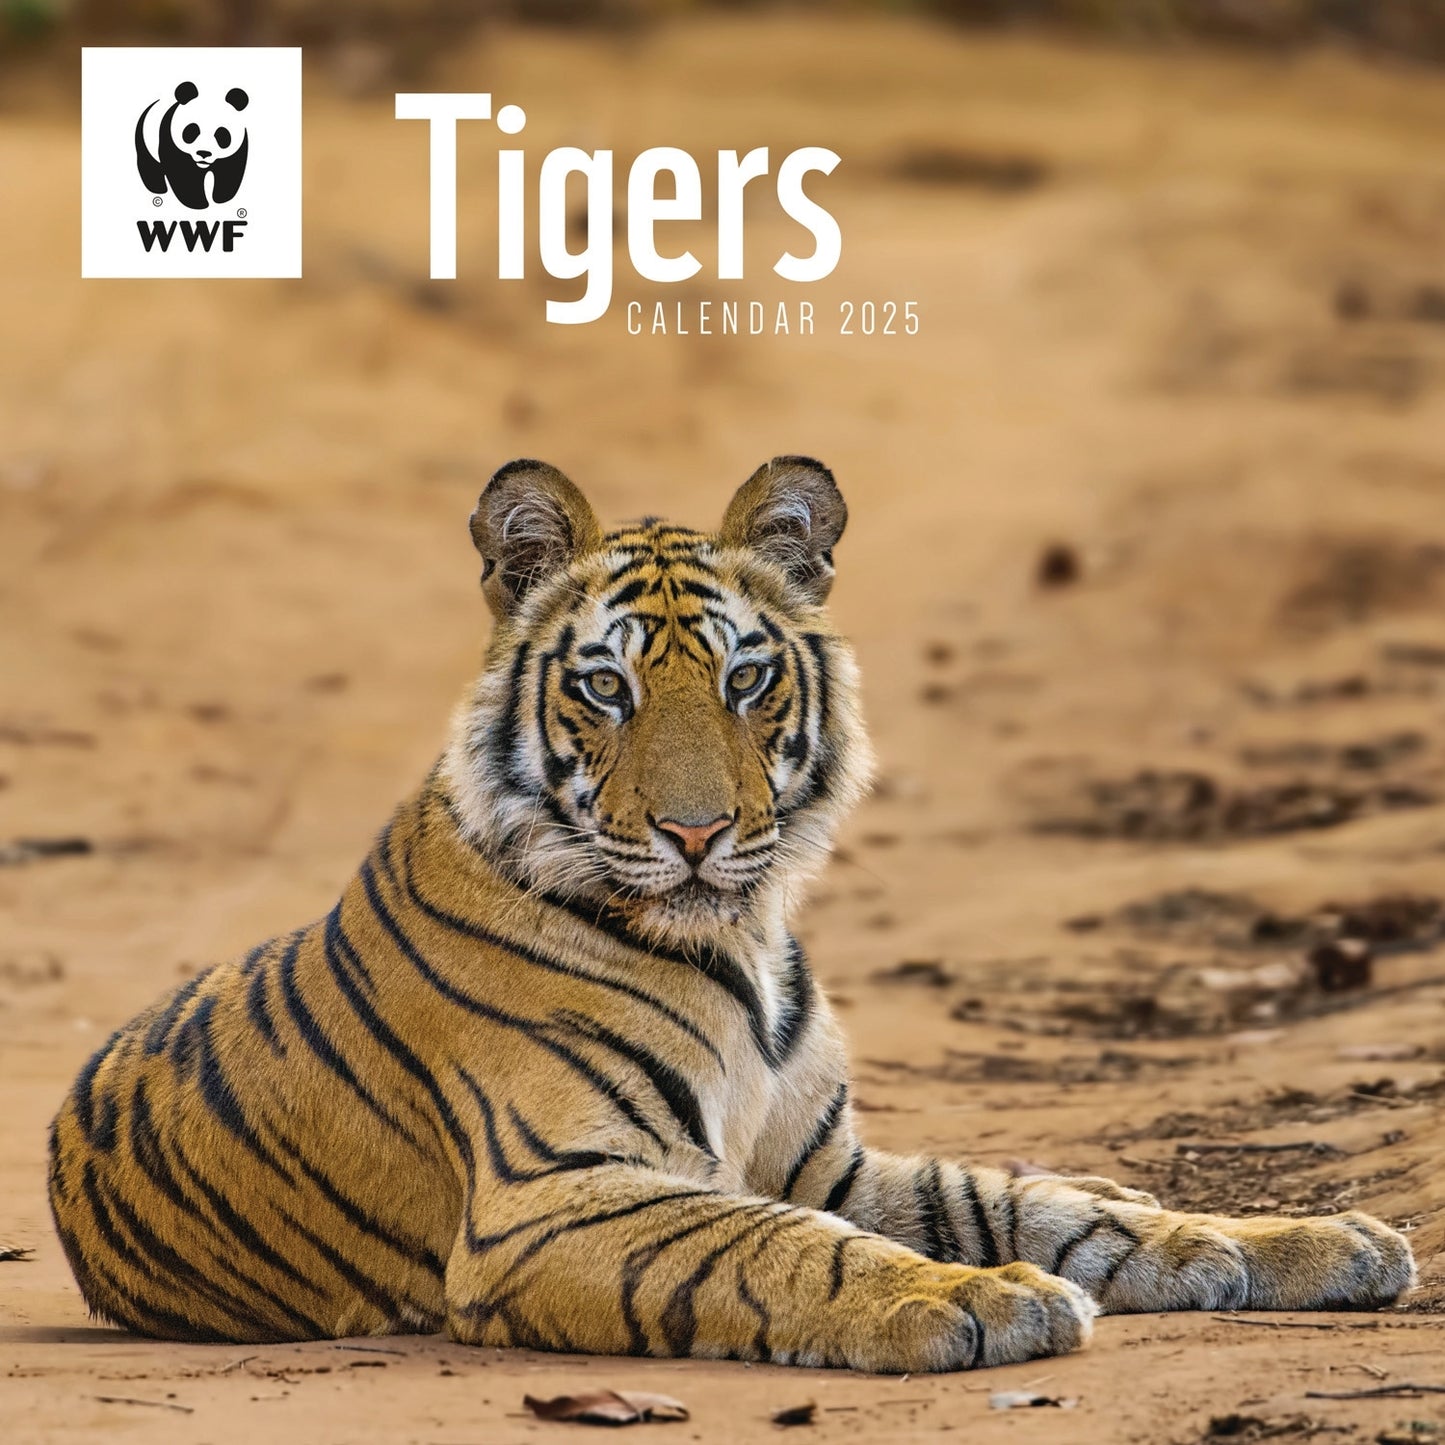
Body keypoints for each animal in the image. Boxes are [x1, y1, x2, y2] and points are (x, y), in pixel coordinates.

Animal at [48, 456, 1416, 1371]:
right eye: (604, 687)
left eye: (745, 678)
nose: (697, 834)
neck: (737, 942)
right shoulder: (555, 1194)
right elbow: (778, 1243)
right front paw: (974, 1299)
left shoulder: (828, 1158)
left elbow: (1039, 1206)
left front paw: (1309, 1241)